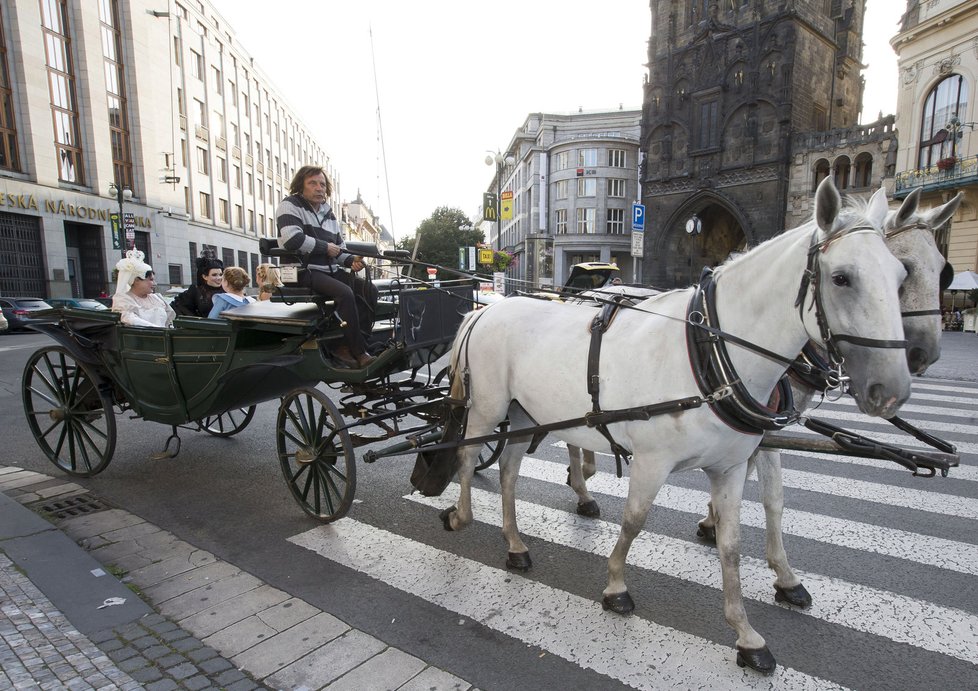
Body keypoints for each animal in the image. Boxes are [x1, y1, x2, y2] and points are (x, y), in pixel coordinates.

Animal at [442, 176, 908, 672]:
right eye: (841, 278)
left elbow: (732, 544)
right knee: (468, 456)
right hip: (489, 408)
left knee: (509, 473)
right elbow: (634, 520)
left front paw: (746, 633)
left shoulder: (730, 467)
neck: (710, 352)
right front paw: (616, 586)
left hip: (525, 415)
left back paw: (515, 544)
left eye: (900, 276)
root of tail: (487, 309)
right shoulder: (652, 461)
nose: (893, 389)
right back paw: (462, 516)